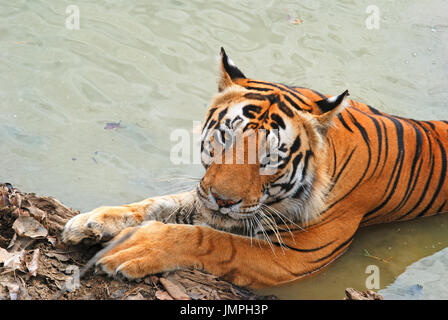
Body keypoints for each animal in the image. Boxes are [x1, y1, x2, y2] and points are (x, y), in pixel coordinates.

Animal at [62, 48, 448, 288]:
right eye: (224, 136)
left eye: (270, 158)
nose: (223, 200)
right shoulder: (203, 194)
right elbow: (159, 203)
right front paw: (93, 221)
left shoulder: (297, 254)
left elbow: (212, 240)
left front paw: (137, 246)